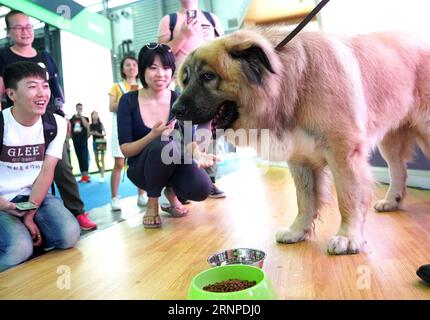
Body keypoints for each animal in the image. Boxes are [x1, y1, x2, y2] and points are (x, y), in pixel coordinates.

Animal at [170, 26, 430, 255]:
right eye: (185, 79)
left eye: (207, 76)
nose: (175, 110)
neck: (292, 83)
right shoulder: (300, 159)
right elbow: (304, 200)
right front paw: (298, 231)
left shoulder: (343, 154)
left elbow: (347, 198)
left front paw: (347, 237)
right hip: (390, 141)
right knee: (398, 169)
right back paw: (393, 200)